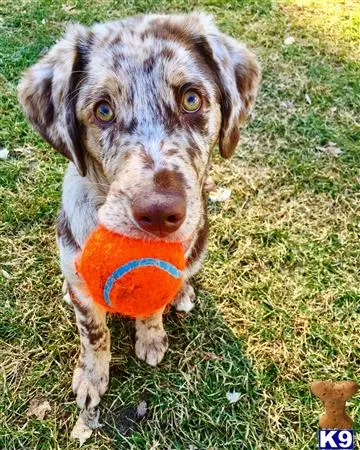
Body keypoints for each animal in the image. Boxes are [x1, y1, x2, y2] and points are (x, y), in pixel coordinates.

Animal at [18, 11, 260, 412]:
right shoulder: (82, 290)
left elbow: (152, 306)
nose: (160, 213)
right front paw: (92, 377)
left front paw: (150, 338)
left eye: (191, 99)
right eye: (103, 110)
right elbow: (94, 333)